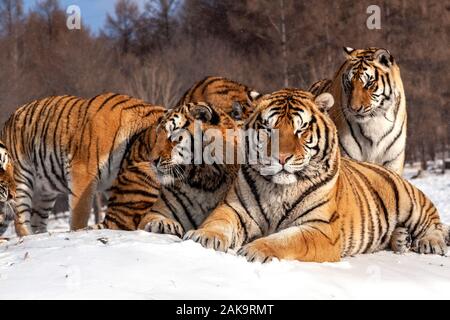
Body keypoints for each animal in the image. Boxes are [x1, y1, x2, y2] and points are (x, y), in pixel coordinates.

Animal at [0, 92, 164, 235]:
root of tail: (7, 122)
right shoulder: (82, 173)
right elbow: (80, 214)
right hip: (21, 180)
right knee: (20, 220)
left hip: (44, 193)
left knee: (36, 220)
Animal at [91, 101, 239, 234]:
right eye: (157, 135)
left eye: (173, 136)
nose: (152, 160)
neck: (204, 183)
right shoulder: (158, 211)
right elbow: (155, 218)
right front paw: (164, 225)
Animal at [184, 89, 450, 262]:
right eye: (268, 128)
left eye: (301, 129)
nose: (282, 158)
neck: (279, 188)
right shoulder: (234, 208)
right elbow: (217, 221)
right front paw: (202, 237)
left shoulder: (320, 228)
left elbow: (285, 239)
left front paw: (255, 249)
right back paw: (402, 239)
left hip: (410, 200)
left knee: (433, 221)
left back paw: (430, 242)